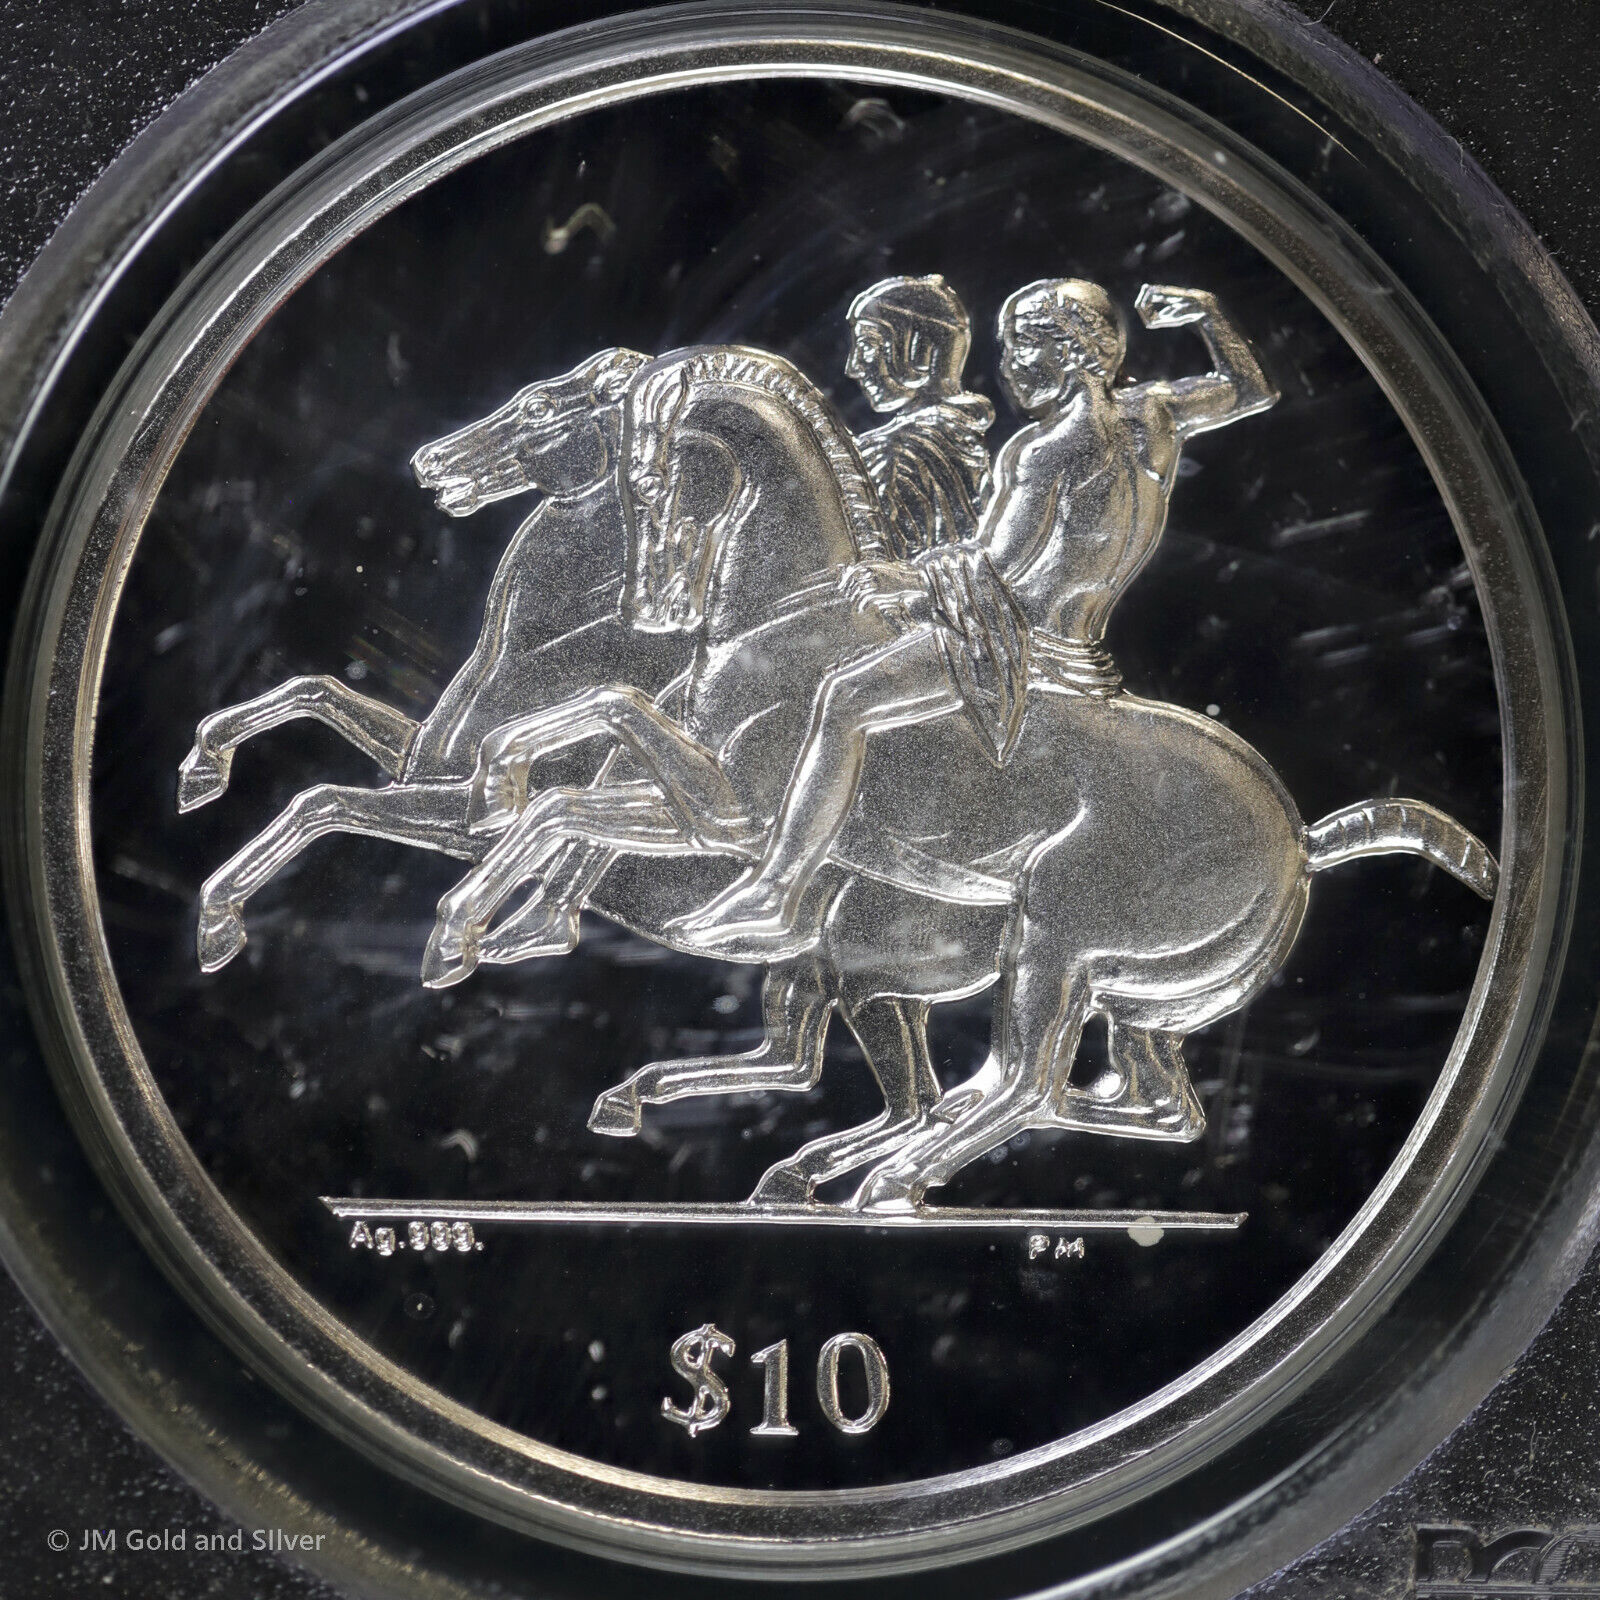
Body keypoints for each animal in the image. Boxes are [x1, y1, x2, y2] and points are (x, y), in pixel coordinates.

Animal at [412, 343, 1499, 1210]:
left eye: (649, 469)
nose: (653, 600)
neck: (788, 613)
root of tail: (1303, 840)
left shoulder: (730, 814)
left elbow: (579, 775)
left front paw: (468, 917)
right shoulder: (696, 803)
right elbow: (576, 772)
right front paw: (484, 904)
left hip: (1056, 938)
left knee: (1023, 1081)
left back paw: (884, 1177)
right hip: (1128, 995)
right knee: (1140, 1102)